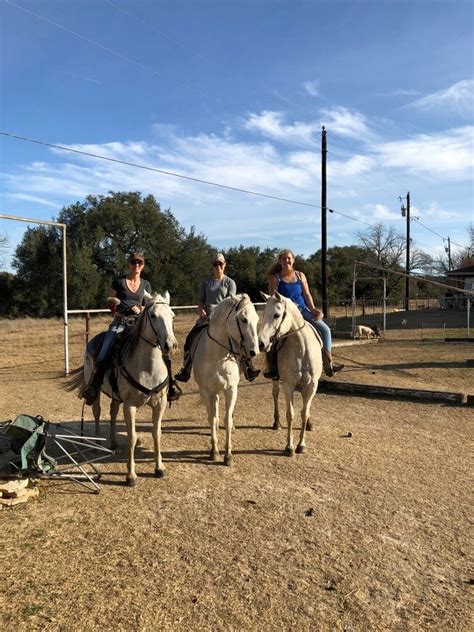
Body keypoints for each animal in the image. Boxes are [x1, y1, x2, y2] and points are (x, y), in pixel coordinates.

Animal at [67, 294, 177, 486]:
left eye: (172, 316)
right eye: (153, 315)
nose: (170, 345)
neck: (148, 368)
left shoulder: (160, 404)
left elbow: (157, 433)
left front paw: (159, 468)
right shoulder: (130, 406)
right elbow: (132, 437)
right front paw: (131, 475)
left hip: (116, 397)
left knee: (112, 412)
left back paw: (113, 442)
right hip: (95, 389)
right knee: (97, 412)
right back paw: (98, 445)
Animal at [192, 294, 260, 466]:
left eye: (257, 319)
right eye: (243, 319)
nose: (254, 351)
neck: (216, 356)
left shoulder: (231, 389)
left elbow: (227, 420)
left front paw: (228, 455)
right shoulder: (206, 391)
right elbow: (212, 418)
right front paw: (214, 451)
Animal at [258, 288, 324, 456]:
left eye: (277, 315)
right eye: (264, 314)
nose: (261, 343)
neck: (302, 348)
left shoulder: (312, 385)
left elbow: (304, 412)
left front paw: (302, 444)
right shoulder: (288, 384)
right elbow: (290, 414)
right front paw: (289, 447)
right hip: (276, 380)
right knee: (275, 394)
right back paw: (276, 422)